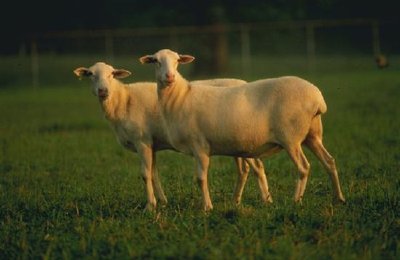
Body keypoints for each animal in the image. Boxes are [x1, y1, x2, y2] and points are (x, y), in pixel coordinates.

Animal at [72, 62, 272, 211]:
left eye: (112, 74)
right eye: (90, 74)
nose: (103, 91)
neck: (123, 100)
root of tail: (243, 82)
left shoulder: (142, 141)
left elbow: (145, 174)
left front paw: (150, 206)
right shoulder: (152, 144)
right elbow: (154, 173)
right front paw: (162, 201)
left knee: (257, 167)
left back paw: (266, 200)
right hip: (236, 143)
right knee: (244, 170)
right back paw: (236, 201)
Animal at [140, 49, 344, 211]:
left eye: (177, 61)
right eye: (156, 61)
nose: (170, 77)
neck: (180, 97)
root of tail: (318, 98)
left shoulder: (200, 146)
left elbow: (200, 178)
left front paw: (207, 207)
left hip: (291, 138)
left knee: (303, 167)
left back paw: (296, 201)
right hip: (312, 135)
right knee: (329, 161)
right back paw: (339, 199)